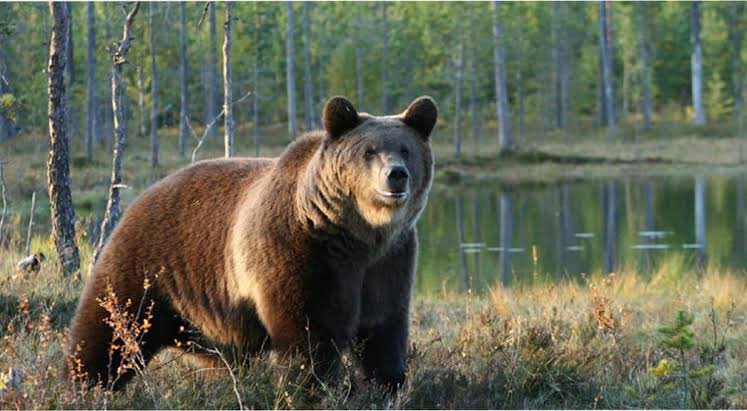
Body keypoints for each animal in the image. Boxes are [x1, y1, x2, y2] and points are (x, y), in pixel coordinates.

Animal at [67, 95, 438, 392]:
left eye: (406, 149)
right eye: (368, 151)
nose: (396, 175)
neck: (355, 235)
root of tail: (142, 196)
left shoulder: (389, 260)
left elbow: (383, 329)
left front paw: (389, 384)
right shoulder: (300, 252)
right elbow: (309, 332)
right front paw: (308, 389)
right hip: (147, 266)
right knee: (111, 328)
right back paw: (87, 384)